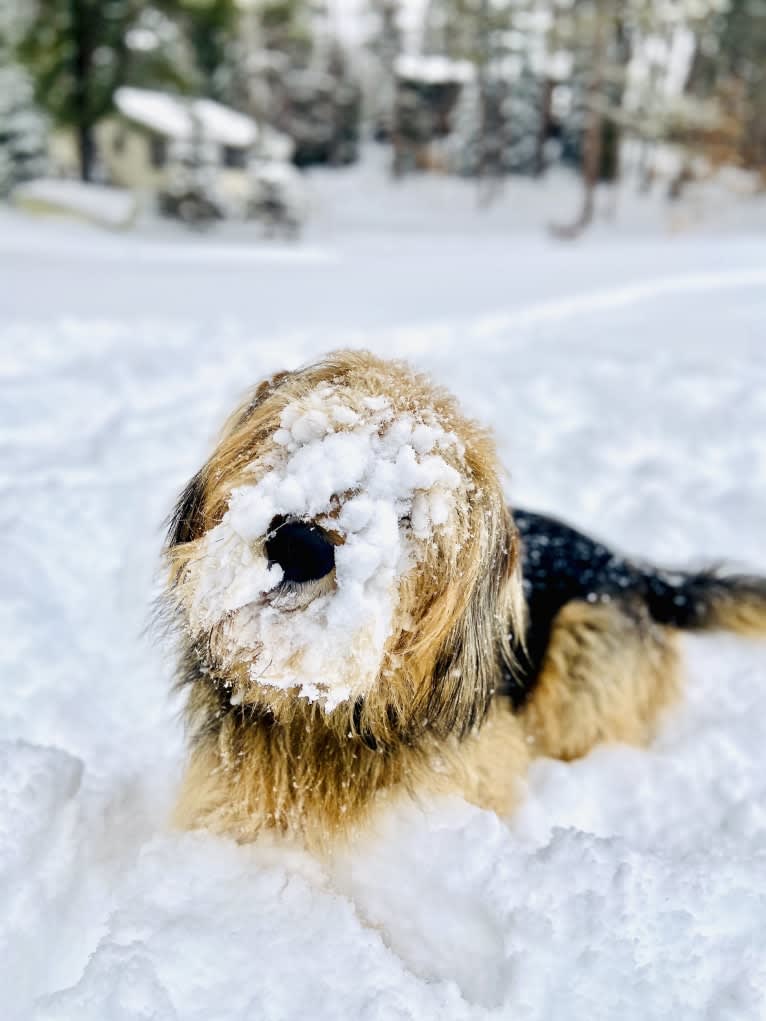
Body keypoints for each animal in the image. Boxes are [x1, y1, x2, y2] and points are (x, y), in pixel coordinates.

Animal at [162, 353, 766, 853]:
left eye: (409, 510)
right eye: (306, 444)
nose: (298, 545)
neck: (326, 716)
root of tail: (634, 568)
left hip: (585, 643)